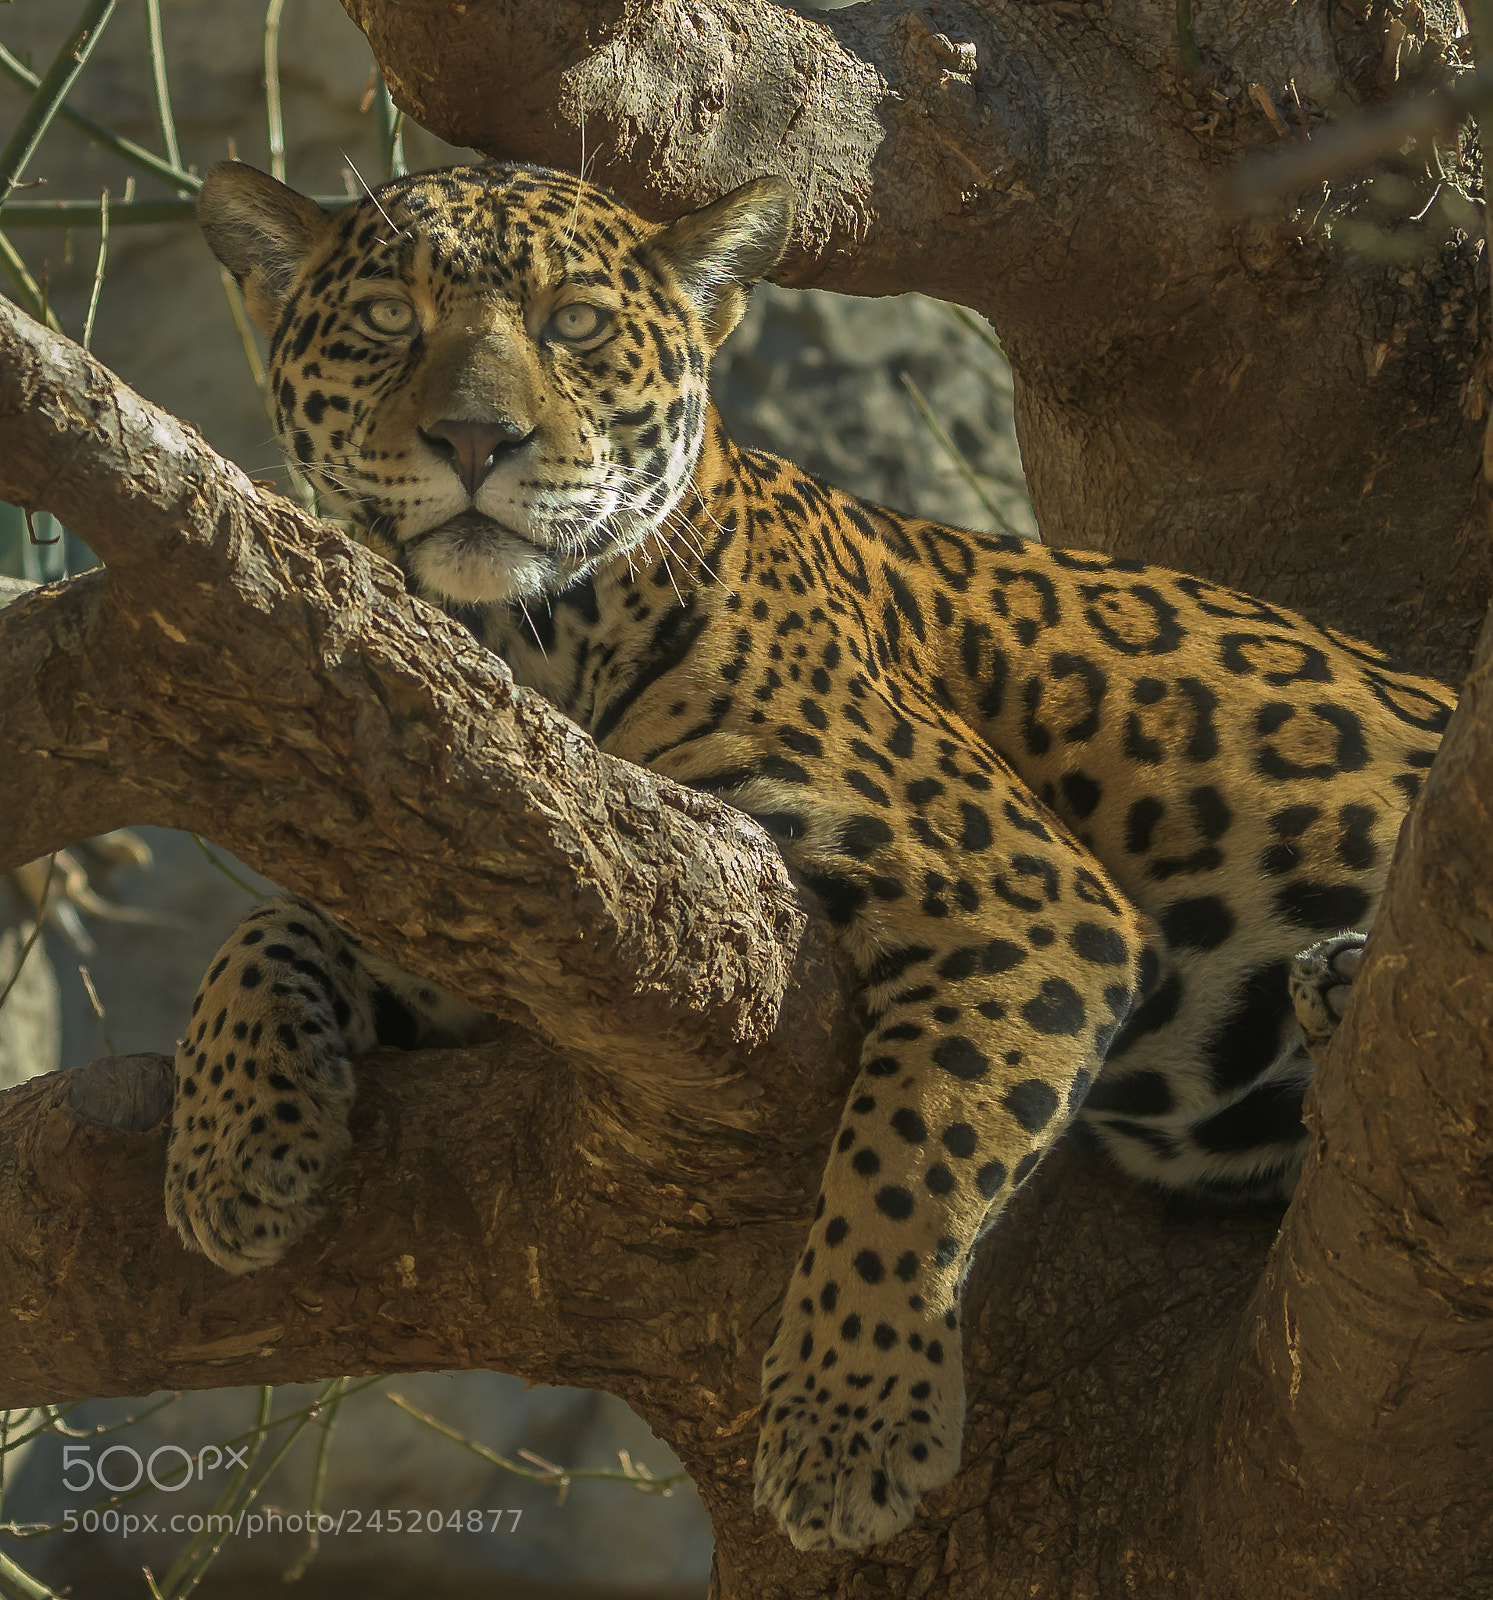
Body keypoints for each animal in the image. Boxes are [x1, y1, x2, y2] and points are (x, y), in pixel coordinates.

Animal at [175, 158, 1455, 1553]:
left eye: (575, 325)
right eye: (385, 322)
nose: (475, 442)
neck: (526, 642)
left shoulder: (1024, 893)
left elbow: (908, 1155)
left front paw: (850, 1422)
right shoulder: (510, 887)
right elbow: (270, 928)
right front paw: (229, 1148)